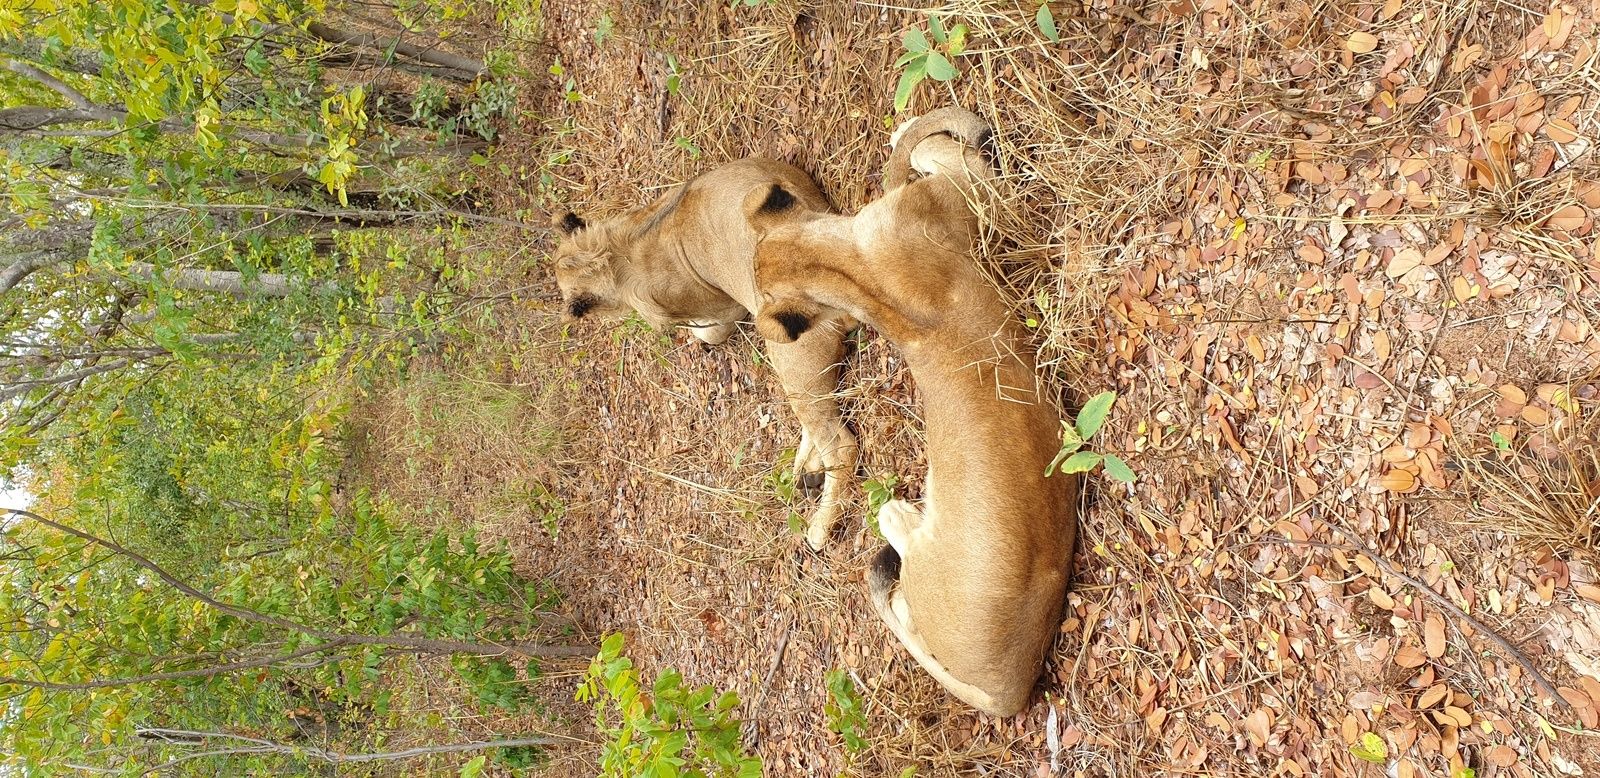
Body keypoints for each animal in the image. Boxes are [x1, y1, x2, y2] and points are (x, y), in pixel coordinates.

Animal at [551, 158, 858, 549]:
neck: (613, 252)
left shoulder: (724, 313)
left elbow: (703, 333)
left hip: (785, 348)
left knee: (840, 443)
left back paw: (819, 527)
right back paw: (807, 471)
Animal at [747, 108, 1078, 717]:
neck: (840, 264)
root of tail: (1008, 690)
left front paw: (919, 135)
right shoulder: (978, 193)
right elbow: (935, 146)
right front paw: (923, 134)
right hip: (902, 534)